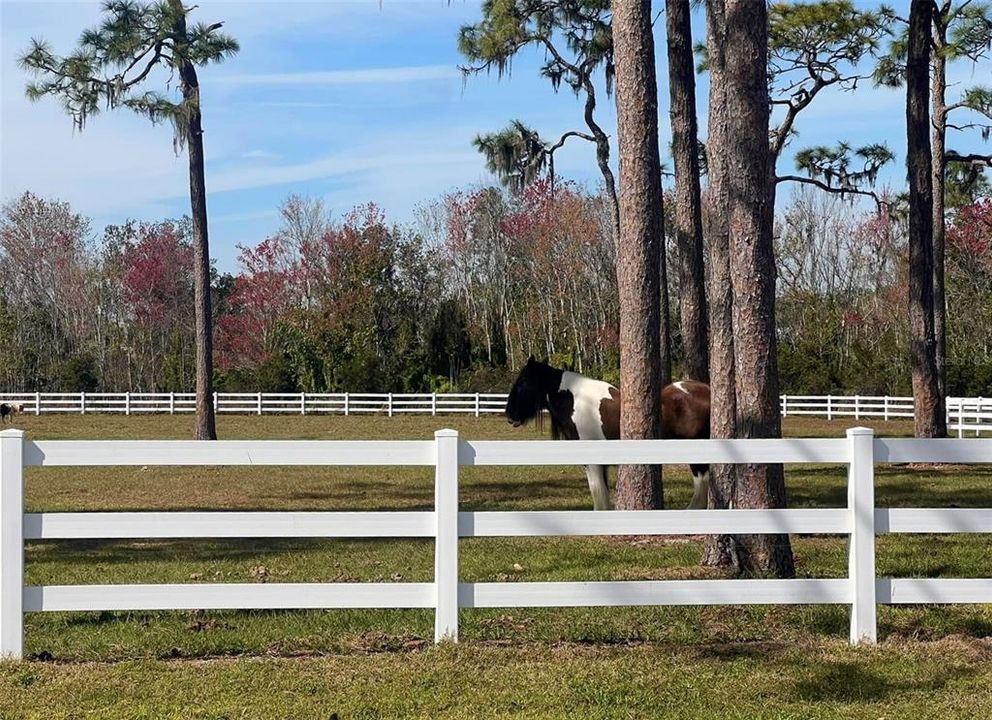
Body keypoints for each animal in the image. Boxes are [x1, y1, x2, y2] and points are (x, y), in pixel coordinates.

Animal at [504, 358, 712, 510]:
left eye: (522, 382)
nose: (509, 416)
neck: (578, 402)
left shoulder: (592, 461)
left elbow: (597, 491)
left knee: (702, 482)